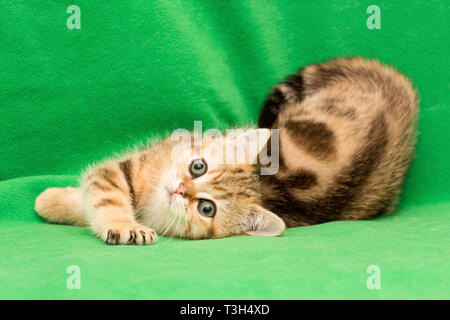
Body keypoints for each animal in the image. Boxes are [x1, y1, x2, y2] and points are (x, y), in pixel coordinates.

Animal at [37, 128, 286, 245]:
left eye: (206, 209)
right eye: (198, 167)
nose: (180, 190)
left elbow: (101, 198)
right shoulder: (132, 167)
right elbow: (103, 194)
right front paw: (48, 201)